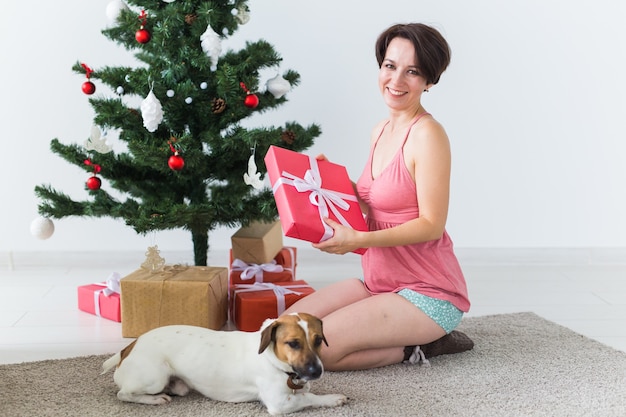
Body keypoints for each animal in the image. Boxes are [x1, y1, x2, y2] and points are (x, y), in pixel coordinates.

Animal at [102, 312, 346, 412]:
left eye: (318, 340)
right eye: (293, 343)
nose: (316, 371)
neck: (272, 359)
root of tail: (127, 348)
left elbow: (305, 392)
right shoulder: (279, 403)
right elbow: (309, 397)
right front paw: (333, 398)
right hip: (155, 378)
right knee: (123, 394)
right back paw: (154, 399)